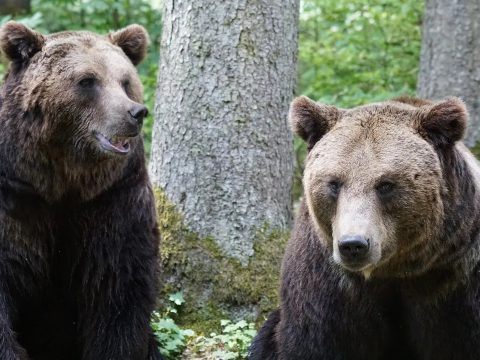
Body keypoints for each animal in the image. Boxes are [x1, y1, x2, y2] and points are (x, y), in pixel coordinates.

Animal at [0, 21, 162, 360]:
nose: (136, 112)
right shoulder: (16, 198)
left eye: (125, 81)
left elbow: (117, 287)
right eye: (88, 81)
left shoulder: (113, 199)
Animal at [249, 95, 480, 360]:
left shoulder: (454, 275)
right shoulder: (328, 280)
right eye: (334, 183)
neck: (393, 271)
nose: (353, 245)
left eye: (386, 184)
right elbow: (315, 340)